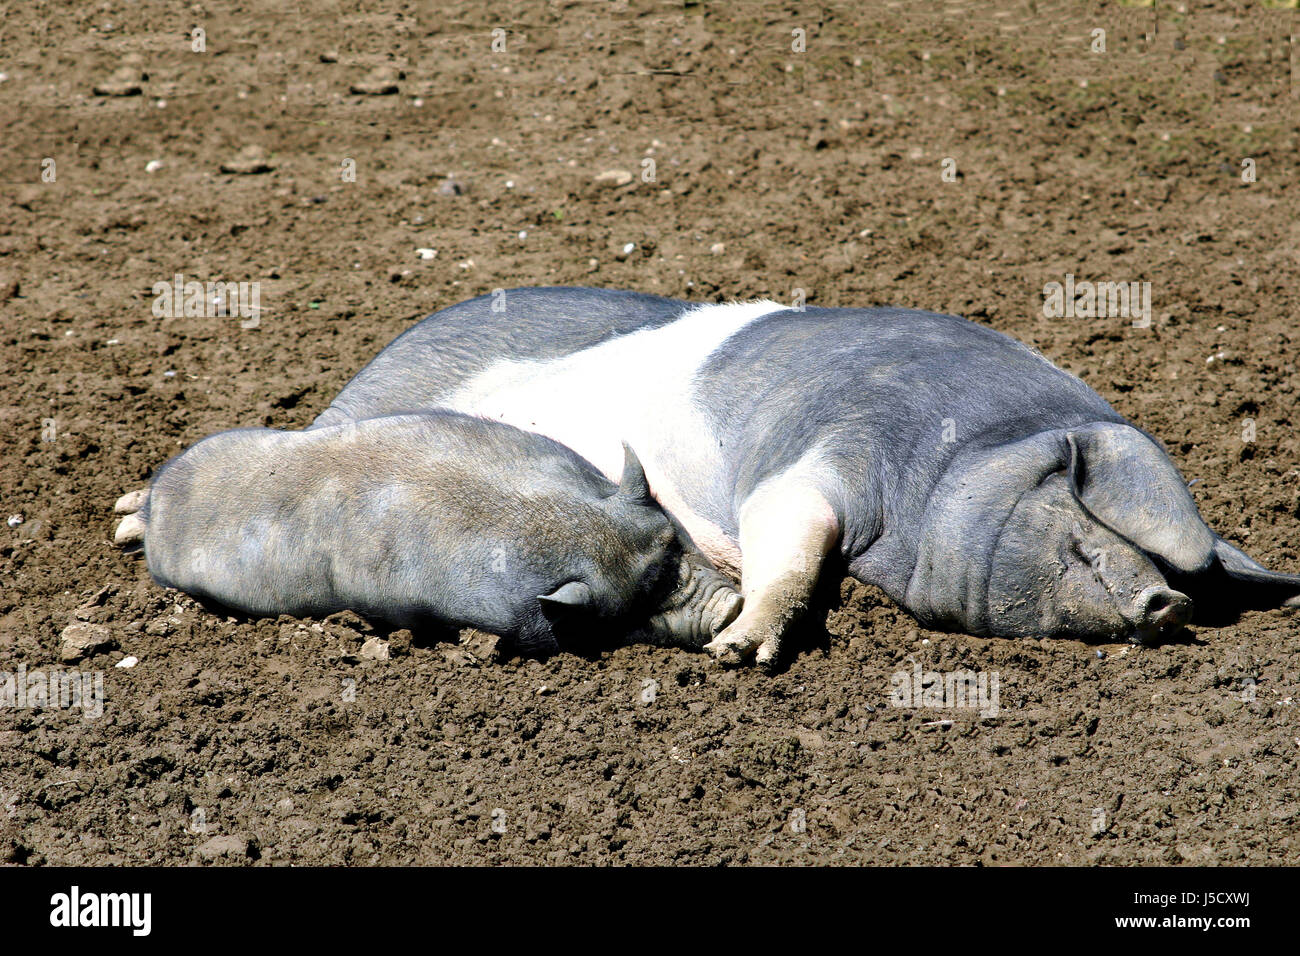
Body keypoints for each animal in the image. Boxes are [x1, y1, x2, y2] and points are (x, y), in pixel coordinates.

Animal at [306, 287, 1300, 671]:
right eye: (1097, 523)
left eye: (1185, 575)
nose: (1169, 599)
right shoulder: (825, 450)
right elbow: (790, 539)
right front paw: (737, 652)